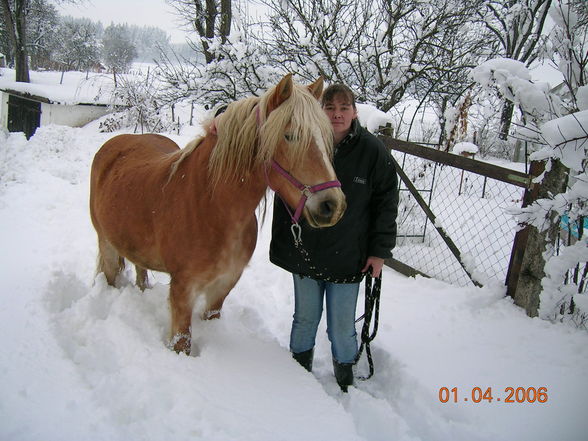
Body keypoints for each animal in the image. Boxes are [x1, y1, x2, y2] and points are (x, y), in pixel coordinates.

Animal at [89, 73, 346, 354]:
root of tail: (117, 142)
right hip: (106, 245)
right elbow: (182, 341)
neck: (212, 208)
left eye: (326, 136)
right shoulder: (183, 289)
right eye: (290, 136)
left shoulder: (224, 285)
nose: (332, 205)